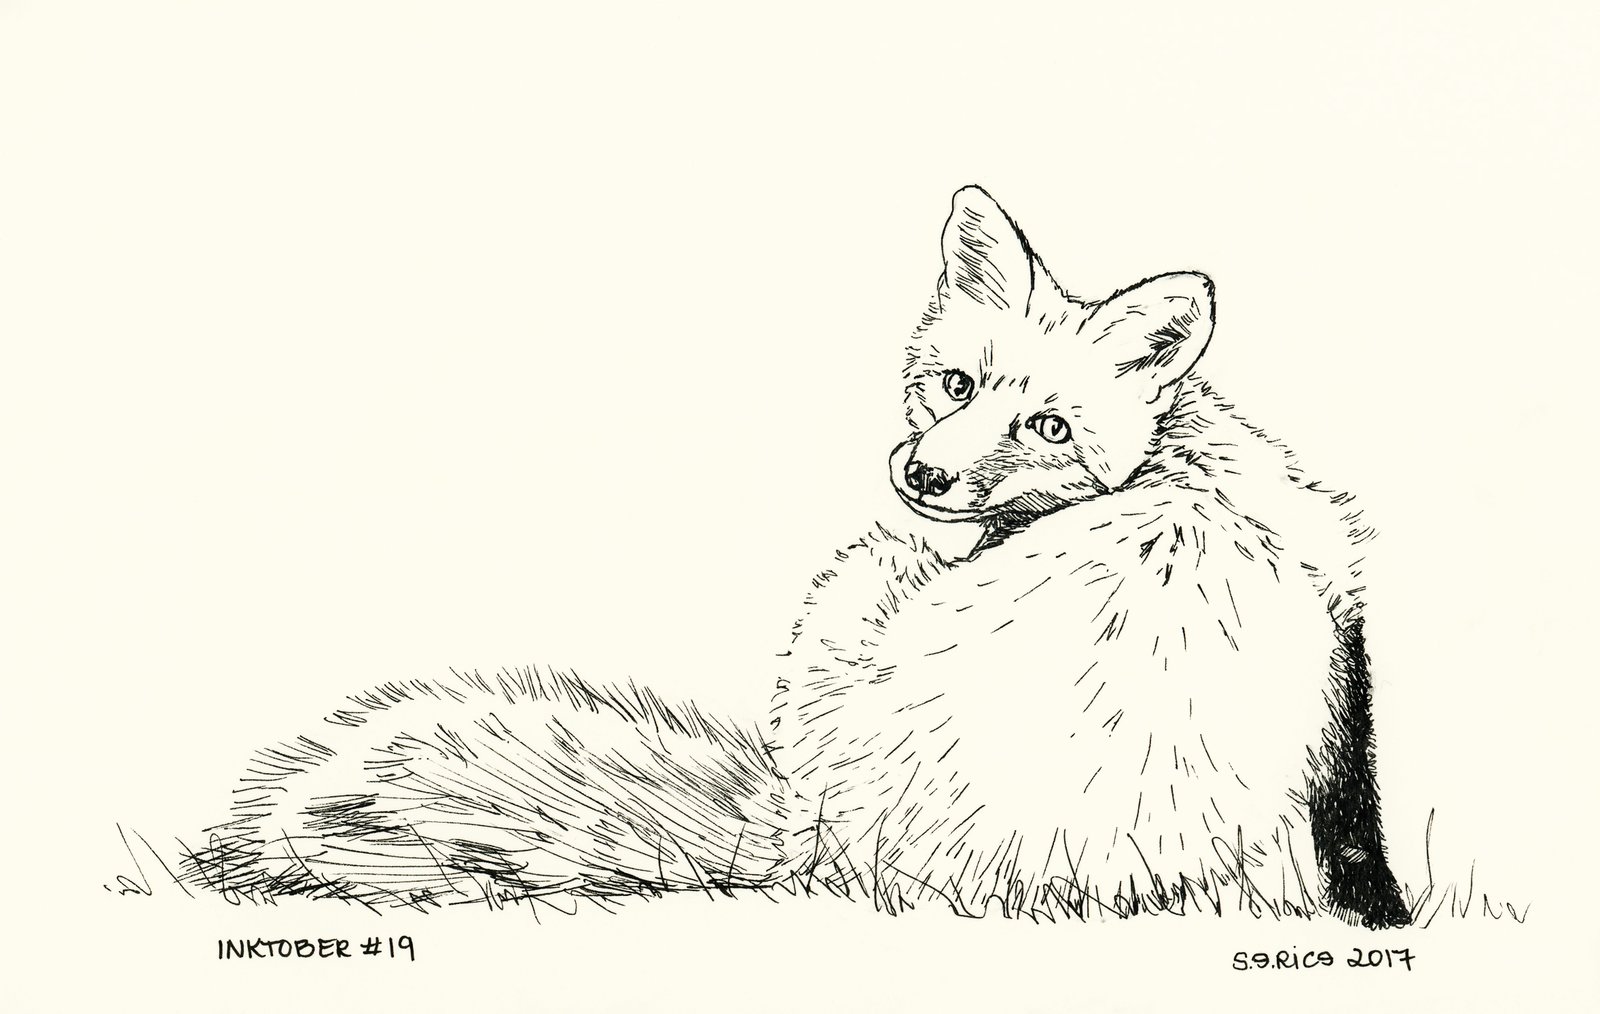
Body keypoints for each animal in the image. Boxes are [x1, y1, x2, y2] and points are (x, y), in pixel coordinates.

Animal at [179, 185, 1410, 928]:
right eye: (954, 385)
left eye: (1048, 426)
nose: (927, 481)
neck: (1181, 464)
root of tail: (816, 841)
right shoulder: (1345, 626)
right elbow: (1357, 817)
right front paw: (1380, 915)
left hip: (852, 584)